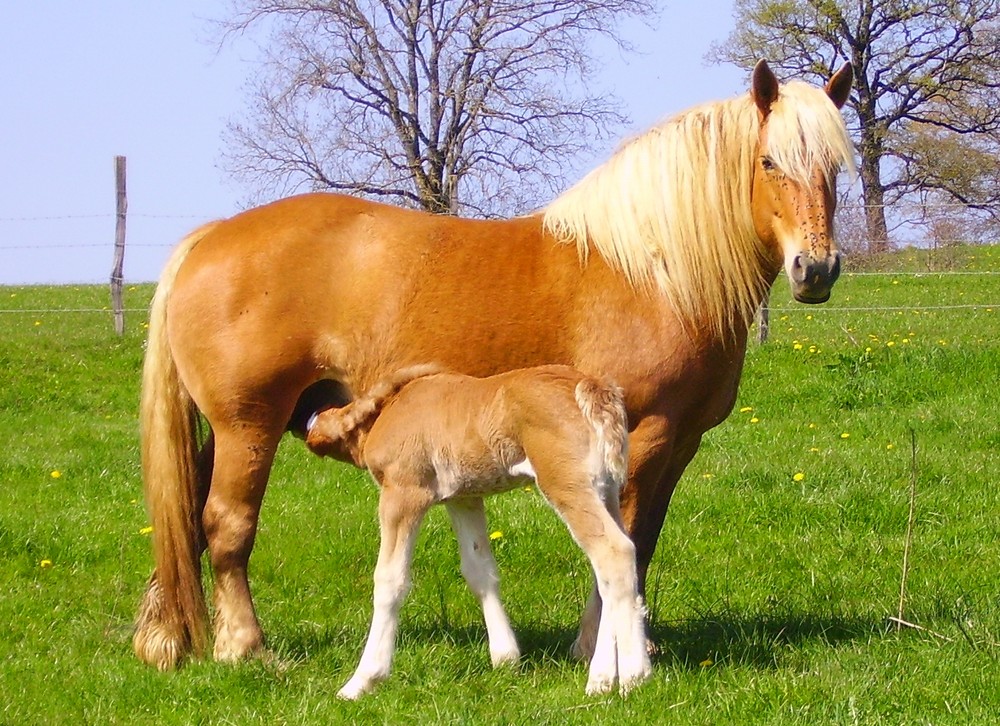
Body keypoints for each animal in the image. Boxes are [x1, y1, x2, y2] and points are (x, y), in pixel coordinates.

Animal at [304, 366, 648, 704]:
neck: (390, 407)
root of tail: (591, 387)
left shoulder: (404, 492)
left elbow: (390, 580)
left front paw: (363, 681)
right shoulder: (463, 498)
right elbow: (479, 569)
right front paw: (505, 658)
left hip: (566, 482)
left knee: (613, 552)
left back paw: (633, 676)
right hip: (605, 489)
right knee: (611, 564)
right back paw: (603, 678)